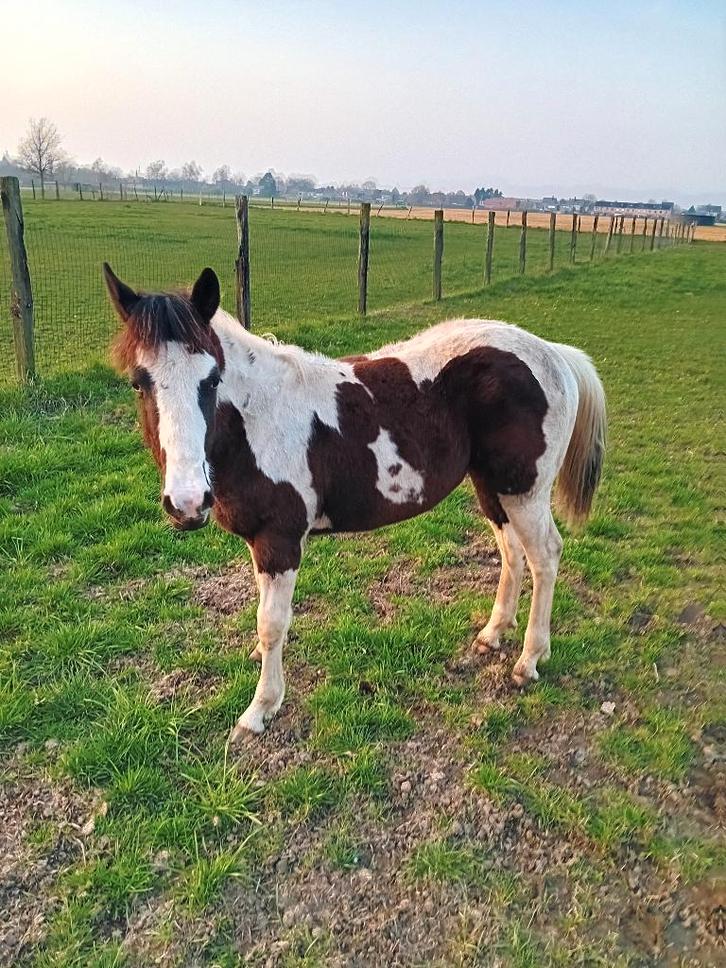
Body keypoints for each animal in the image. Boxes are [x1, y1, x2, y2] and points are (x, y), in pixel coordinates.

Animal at [103, 264, 606, 740]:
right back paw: (491, 635)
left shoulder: (280, 540)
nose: (186, 503)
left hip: (524, 491)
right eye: (138, 382)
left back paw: (529, 660)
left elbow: (272, 622)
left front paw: (260, 709)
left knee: (545, 557)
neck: (258, 419)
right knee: (512, 554)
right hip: (493, 488)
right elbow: (264, 617)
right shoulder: (259, 542)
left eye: (211, 380)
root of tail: (553, 353)